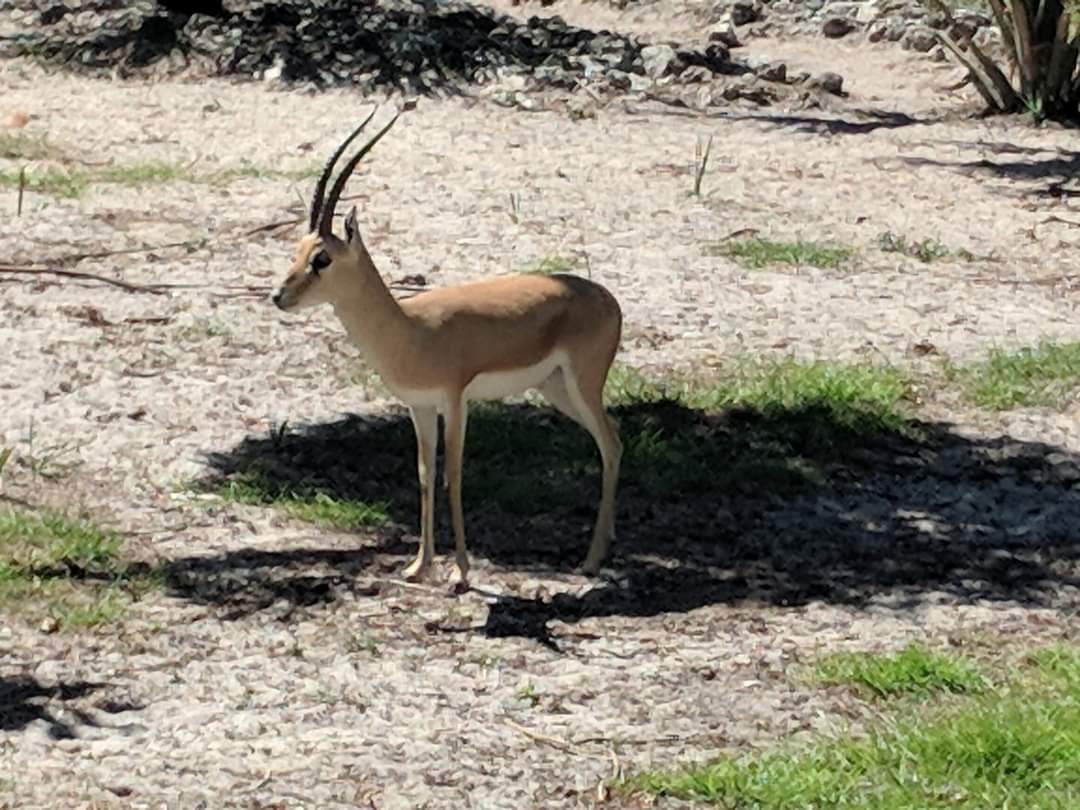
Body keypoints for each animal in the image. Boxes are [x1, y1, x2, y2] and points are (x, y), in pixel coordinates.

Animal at [271, 107, 623, 590]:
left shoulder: (455, 402)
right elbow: (424, 476)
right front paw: (419, 566)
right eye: (297, 250)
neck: (412, 332)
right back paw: (601, 553)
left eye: (321, 258)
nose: (279, 296)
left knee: (609, 444)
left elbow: (453, 477)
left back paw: (589, 562)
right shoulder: (419, 407)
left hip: (582, 385)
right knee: (616, 440)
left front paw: (460, 572)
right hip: (557, 389)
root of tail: (608, 299)